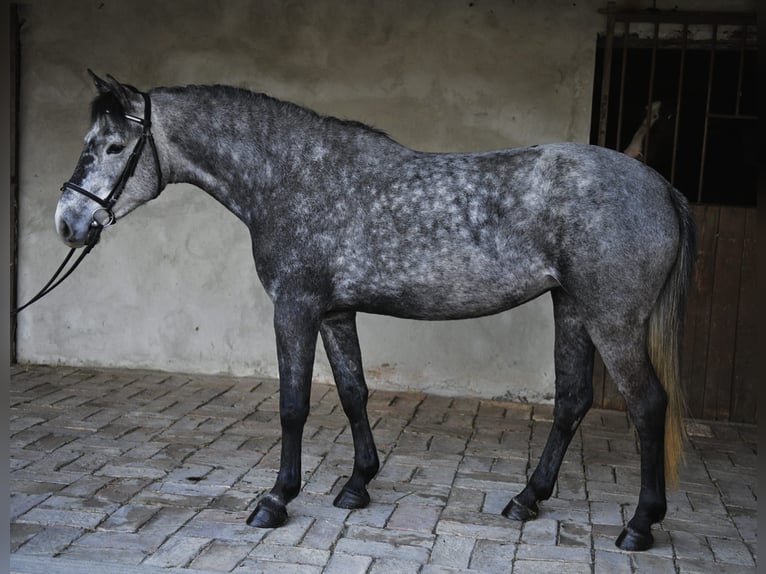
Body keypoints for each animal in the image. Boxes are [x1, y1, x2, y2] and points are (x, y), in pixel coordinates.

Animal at [54, 72, 695, 552]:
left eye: (113, 147)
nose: (68, 223)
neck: (293, 176)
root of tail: (660, 186)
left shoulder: (295, 308)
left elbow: (293, 405)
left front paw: (276, 500)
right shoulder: (335, 314)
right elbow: (353, 392)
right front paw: (358, 485)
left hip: (613, 321)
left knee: (646, 404)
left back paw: (639, 526)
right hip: (573, 309)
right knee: (572, 400)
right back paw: (526, 499)